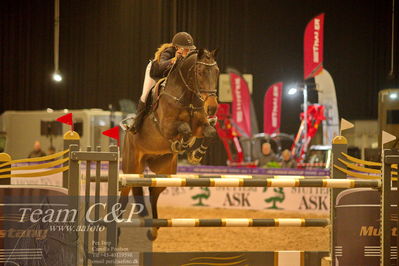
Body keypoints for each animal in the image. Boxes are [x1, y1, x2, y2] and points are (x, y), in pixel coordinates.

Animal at [119, 48, 219, 240]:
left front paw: (195, 155)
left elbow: (210, 133)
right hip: (131, 167)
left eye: (217, 72)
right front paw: (181, 144)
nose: (212, 107)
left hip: (165, 171)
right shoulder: (166, 127)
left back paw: (153, 230)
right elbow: (184, 129)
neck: (187, 95)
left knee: (153, 193)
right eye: (200, 72)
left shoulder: (200, 127)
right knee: (125, 195)